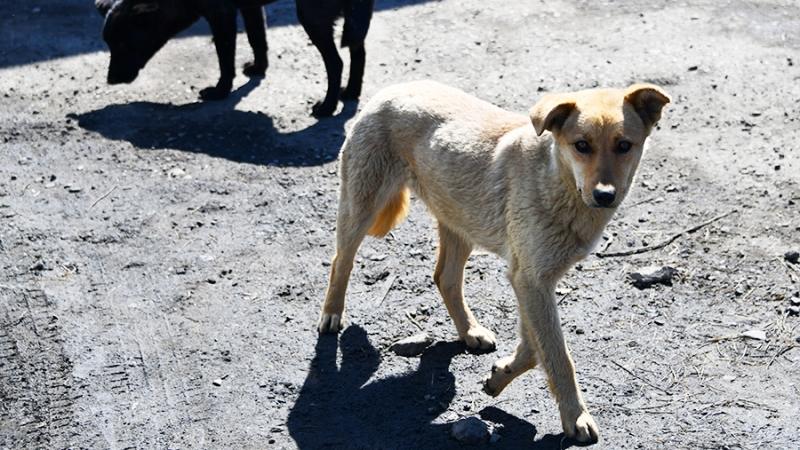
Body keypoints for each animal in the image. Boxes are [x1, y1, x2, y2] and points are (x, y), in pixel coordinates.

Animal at [96, 0, 376, 116]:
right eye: (109, 44)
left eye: (122, 44)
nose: (110, 80)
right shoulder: (250, 8)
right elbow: (257, 38)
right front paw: (258, 68)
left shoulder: (221, 15)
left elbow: (224, 57)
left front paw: (220, 91)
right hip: (352, 20)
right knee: (359, 51)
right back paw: (351, 91)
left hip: (312, 16)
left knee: (336, 62)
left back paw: (327, 107)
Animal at [318, 80, 668, 442]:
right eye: (582, 146)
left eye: (624, 146)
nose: (604, 196)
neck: (556, 180)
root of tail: (398, 87)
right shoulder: (530, 280)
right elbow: (557, 355)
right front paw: (576, 416)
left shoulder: (530, 280)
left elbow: (534, 349)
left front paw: (500, 376)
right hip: (362, 208)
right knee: (340, 261)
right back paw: (332, 314)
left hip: (459, 223)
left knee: (445, 278)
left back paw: (469, 331)